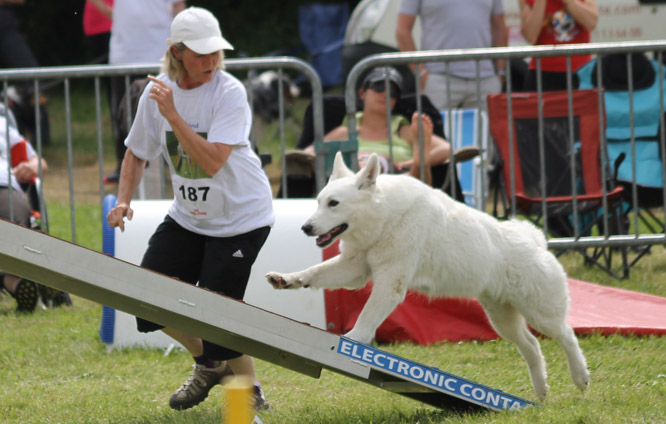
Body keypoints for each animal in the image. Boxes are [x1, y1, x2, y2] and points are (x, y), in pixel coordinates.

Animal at [264, 152, 588, 400]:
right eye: (318, 202)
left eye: (334, 203)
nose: (305, 227)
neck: (386, 217)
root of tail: (536, 240)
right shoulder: (354, 268)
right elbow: (314, 273)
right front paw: (287, 279)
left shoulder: (390, 283)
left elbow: (366, 318)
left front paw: (352, 342)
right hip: (502, 318)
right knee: (532, 346)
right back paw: (542, 392)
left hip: (540, 314)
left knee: (567, 335)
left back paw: (581, 377)